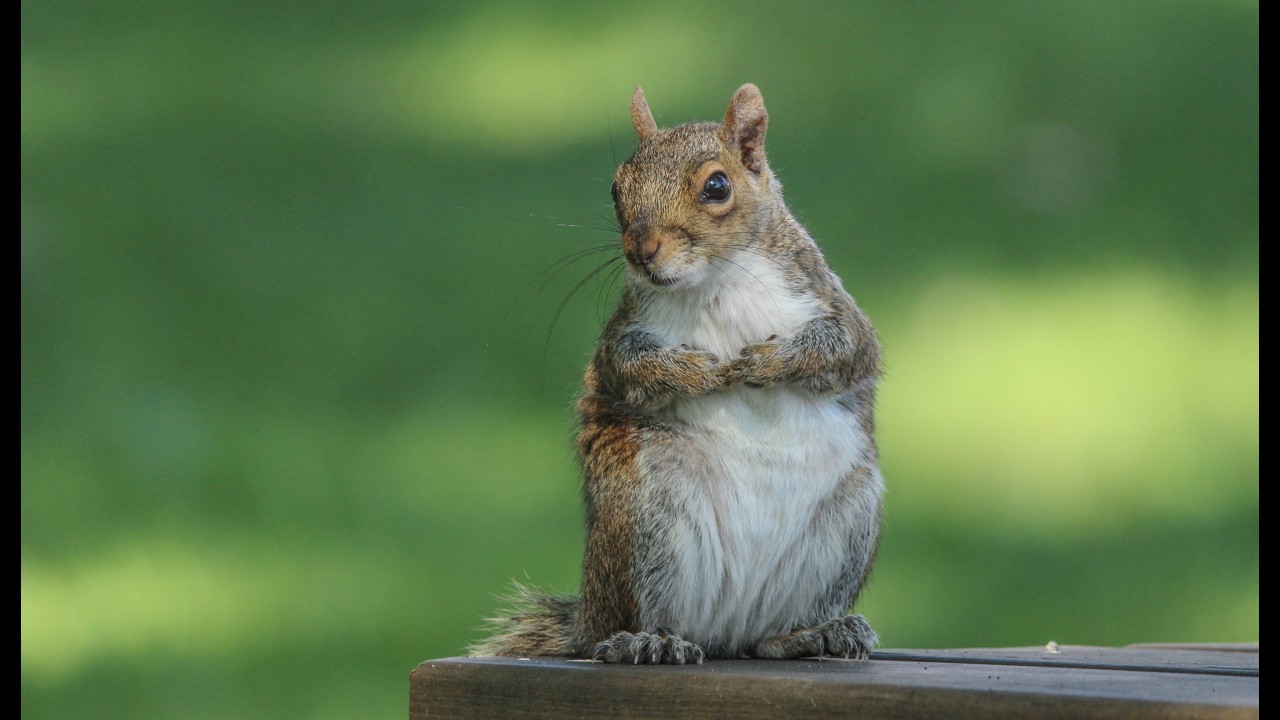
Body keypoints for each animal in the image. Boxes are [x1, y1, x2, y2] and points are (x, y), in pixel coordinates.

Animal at [470, 84, 884, 664]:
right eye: (616, 188)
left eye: (717, 186)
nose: (640, 252)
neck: (715, 281)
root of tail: (727, 630)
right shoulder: (620, 340)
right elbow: (634, 368)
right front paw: (698, 371)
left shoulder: (828, 301)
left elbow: (845, 350)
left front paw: (767, 361)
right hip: (644, 516)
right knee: (633, 623)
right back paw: (649, 640)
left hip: (850, 521)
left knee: (766, 641)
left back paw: (813, 633)